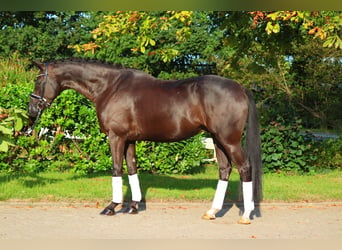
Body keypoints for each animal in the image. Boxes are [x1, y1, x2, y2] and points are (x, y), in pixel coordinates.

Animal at [28, 59, 262, 225]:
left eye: (38, 80)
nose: (31, 111)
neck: (110, 87)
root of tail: (240, 88)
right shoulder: (129, 139)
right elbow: (132, 169)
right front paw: (133, 206)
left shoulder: (116, 137)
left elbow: (116, 168)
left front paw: (112, 206)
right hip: (217, 140)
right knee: (224, 169)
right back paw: (212, 211)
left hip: (229, 140)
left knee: (244, 168)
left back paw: (246, 215)